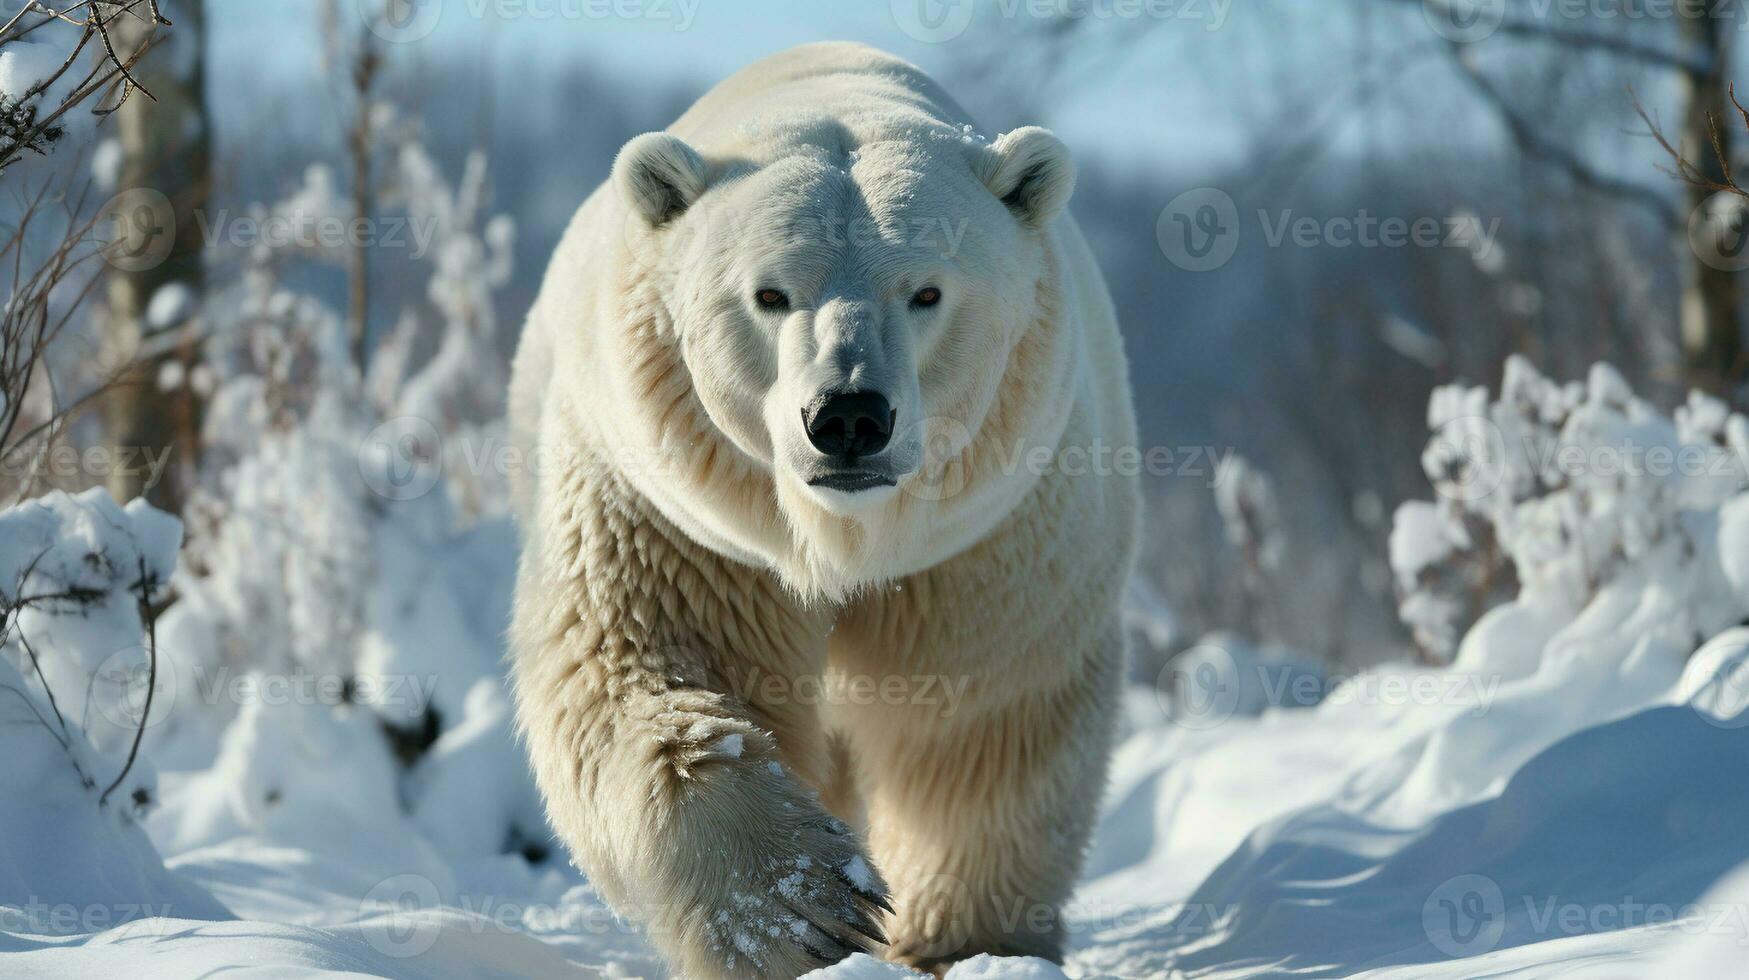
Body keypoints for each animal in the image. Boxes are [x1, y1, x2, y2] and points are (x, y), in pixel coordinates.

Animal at [507, 42, 1133, 973]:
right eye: (769, 294)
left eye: (926, 291)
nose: (848, 417)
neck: (846, 538)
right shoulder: (680, 521)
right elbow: (647, 673)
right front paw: (808, 911)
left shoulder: (988, 538)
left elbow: (979, 718)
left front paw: (967, 940)